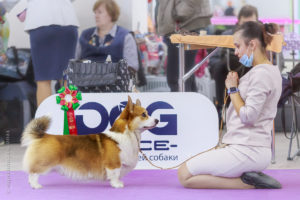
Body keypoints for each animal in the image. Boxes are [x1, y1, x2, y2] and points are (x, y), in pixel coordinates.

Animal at [21, 96, 159, 189]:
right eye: (144, 115)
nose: (157, 120)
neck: (126, 134)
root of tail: (43, 135)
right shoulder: (113, 163)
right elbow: (115, 174)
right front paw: (117, 184)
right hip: (45, 162)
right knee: (33, 172)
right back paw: (35, 185)